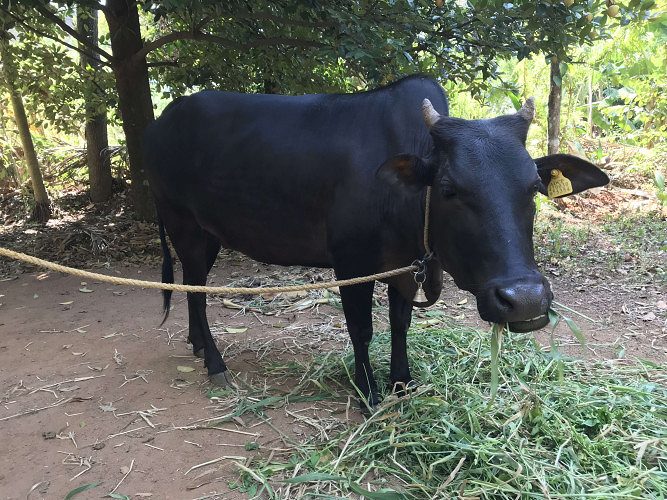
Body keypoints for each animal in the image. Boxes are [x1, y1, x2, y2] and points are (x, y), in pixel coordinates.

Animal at [143, 75, 608, 406]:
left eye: (534, 187)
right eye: (448, 189)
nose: (526, 301)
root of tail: (162, 122)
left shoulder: (405, 266)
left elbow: (400, 324)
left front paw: (402, 381)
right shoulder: (351, 262)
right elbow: (362, 330)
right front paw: (368, 391)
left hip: (208, 232)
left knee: (194, 287)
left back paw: (199, 346)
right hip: (183, 224)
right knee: (196, 290)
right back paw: (215, 362)